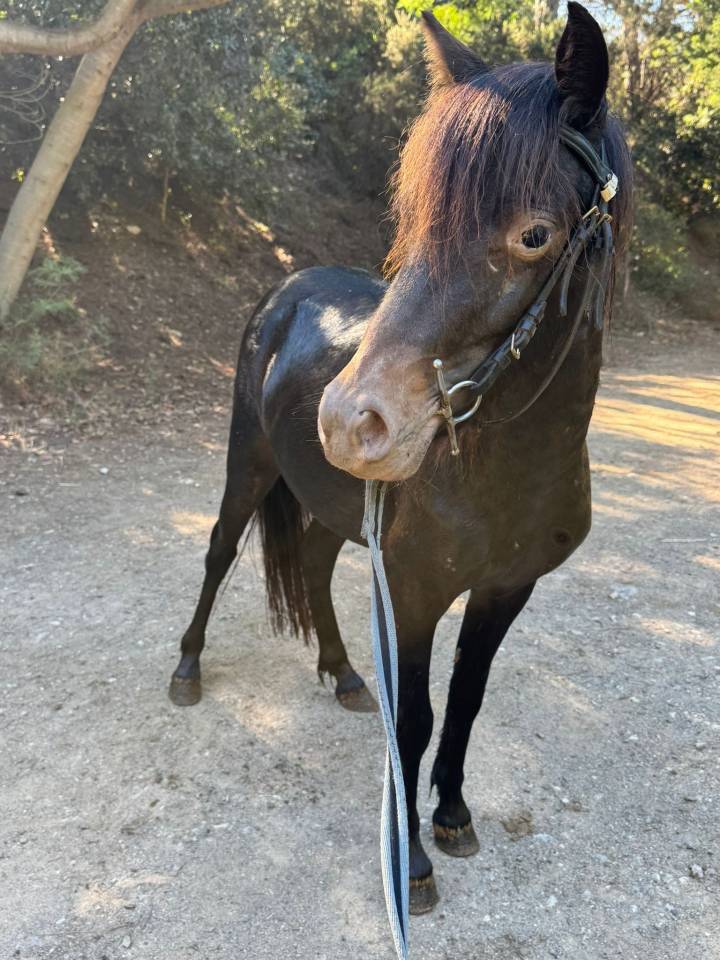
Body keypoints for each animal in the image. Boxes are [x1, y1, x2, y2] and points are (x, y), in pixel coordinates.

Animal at [169, 2, 632, 915]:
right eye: (416, 221)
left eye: (534, 234)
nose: (347, 422)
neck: (505, 470)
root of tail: (288, 289)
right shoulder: (416, 593)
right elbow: (413, 720)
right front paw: (410, 863)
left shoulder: (505, 589)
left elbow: (466, 701)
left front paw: (452, 815)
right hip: (248, 466)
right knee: (217, 553)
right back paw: (188, 670)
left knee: (312, 567)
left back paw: (343, 672)